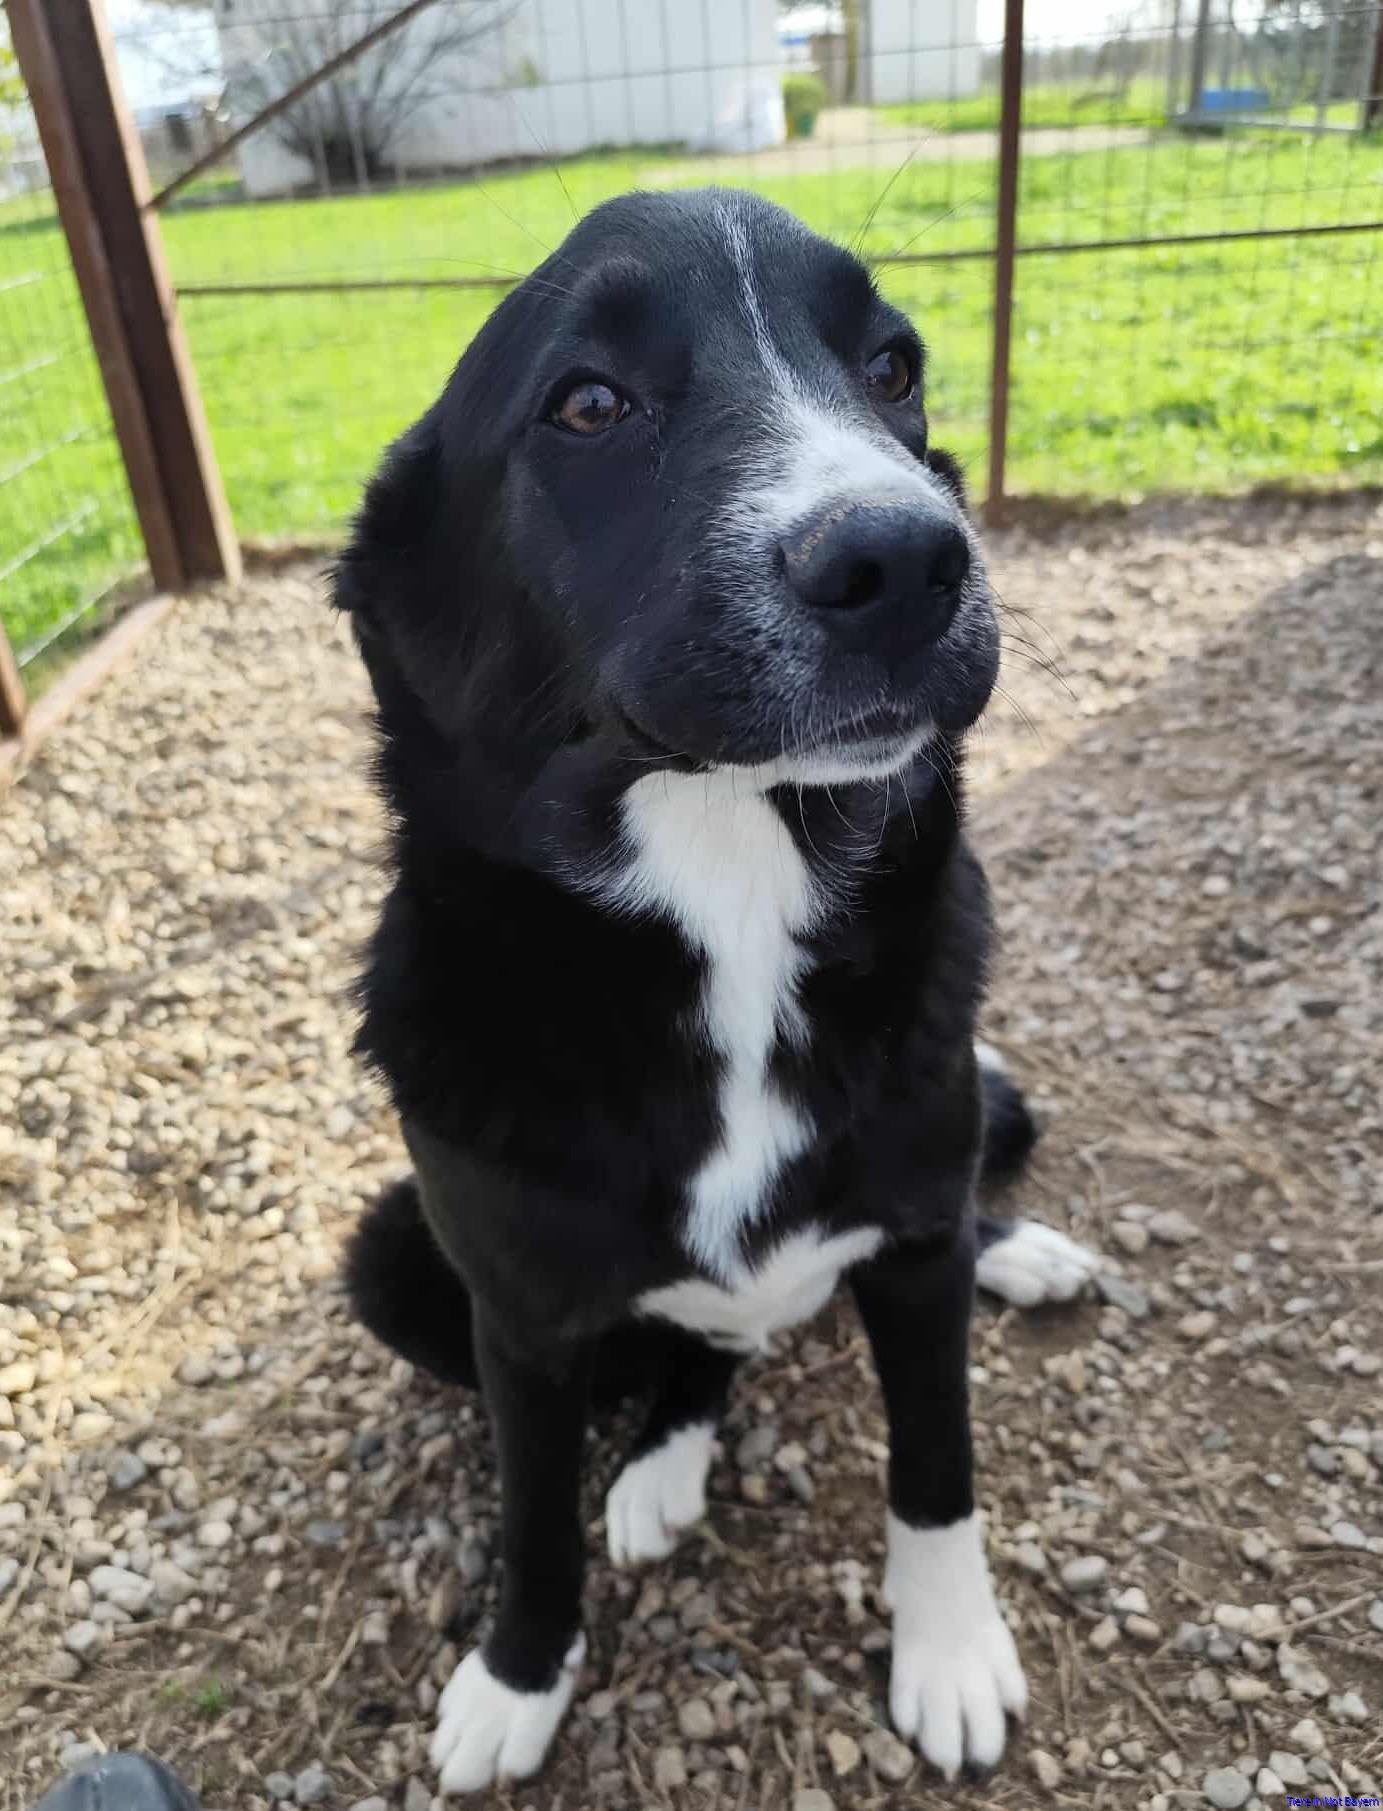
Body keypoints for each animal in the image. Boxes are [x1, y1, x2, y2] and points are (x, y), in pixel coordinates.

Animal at [334, 187, 1097, 1793]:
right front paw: (516, 1677)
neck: (731, 872)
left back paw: (1019, 1251)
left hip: (971, 1111)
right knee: (693, 1353)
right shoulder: (516, 1320)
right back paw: (664, 1464)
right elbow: (532, 1518)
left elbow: (937, 1461)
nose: (908, 560)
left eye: (893, 366)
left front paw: (949, 1652)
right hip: (391, 1258)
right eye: (587, 403)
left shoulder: (914, 1241)